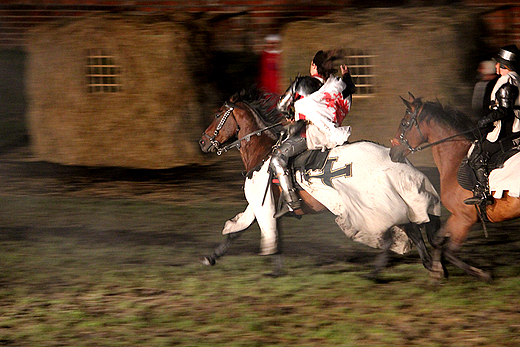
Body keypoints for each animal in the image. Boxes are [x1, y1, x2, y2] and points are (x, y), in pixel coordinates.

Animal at [199, 88, 442, 278]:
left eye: (218, 114)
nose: (202, 142)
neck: (263, 153)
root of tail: (394, 157)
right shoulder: (265, 205)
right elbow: (241, 231)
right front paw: (212, 257)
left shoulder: (263, 202)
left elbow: (264, 232)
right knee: (411, 228)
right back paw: (427, 263)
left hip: (375, 205)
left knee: (393, 234)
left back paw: (376, 273)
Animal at [388, 94, 520, 282]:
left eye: (405, 123)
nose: (393, 153)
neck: (454, 159)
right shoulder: (456, 216)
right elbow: (438, 239)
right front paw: (437, 270)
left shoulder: (464, 219)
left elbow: (450, 252)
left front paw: (482, 274)